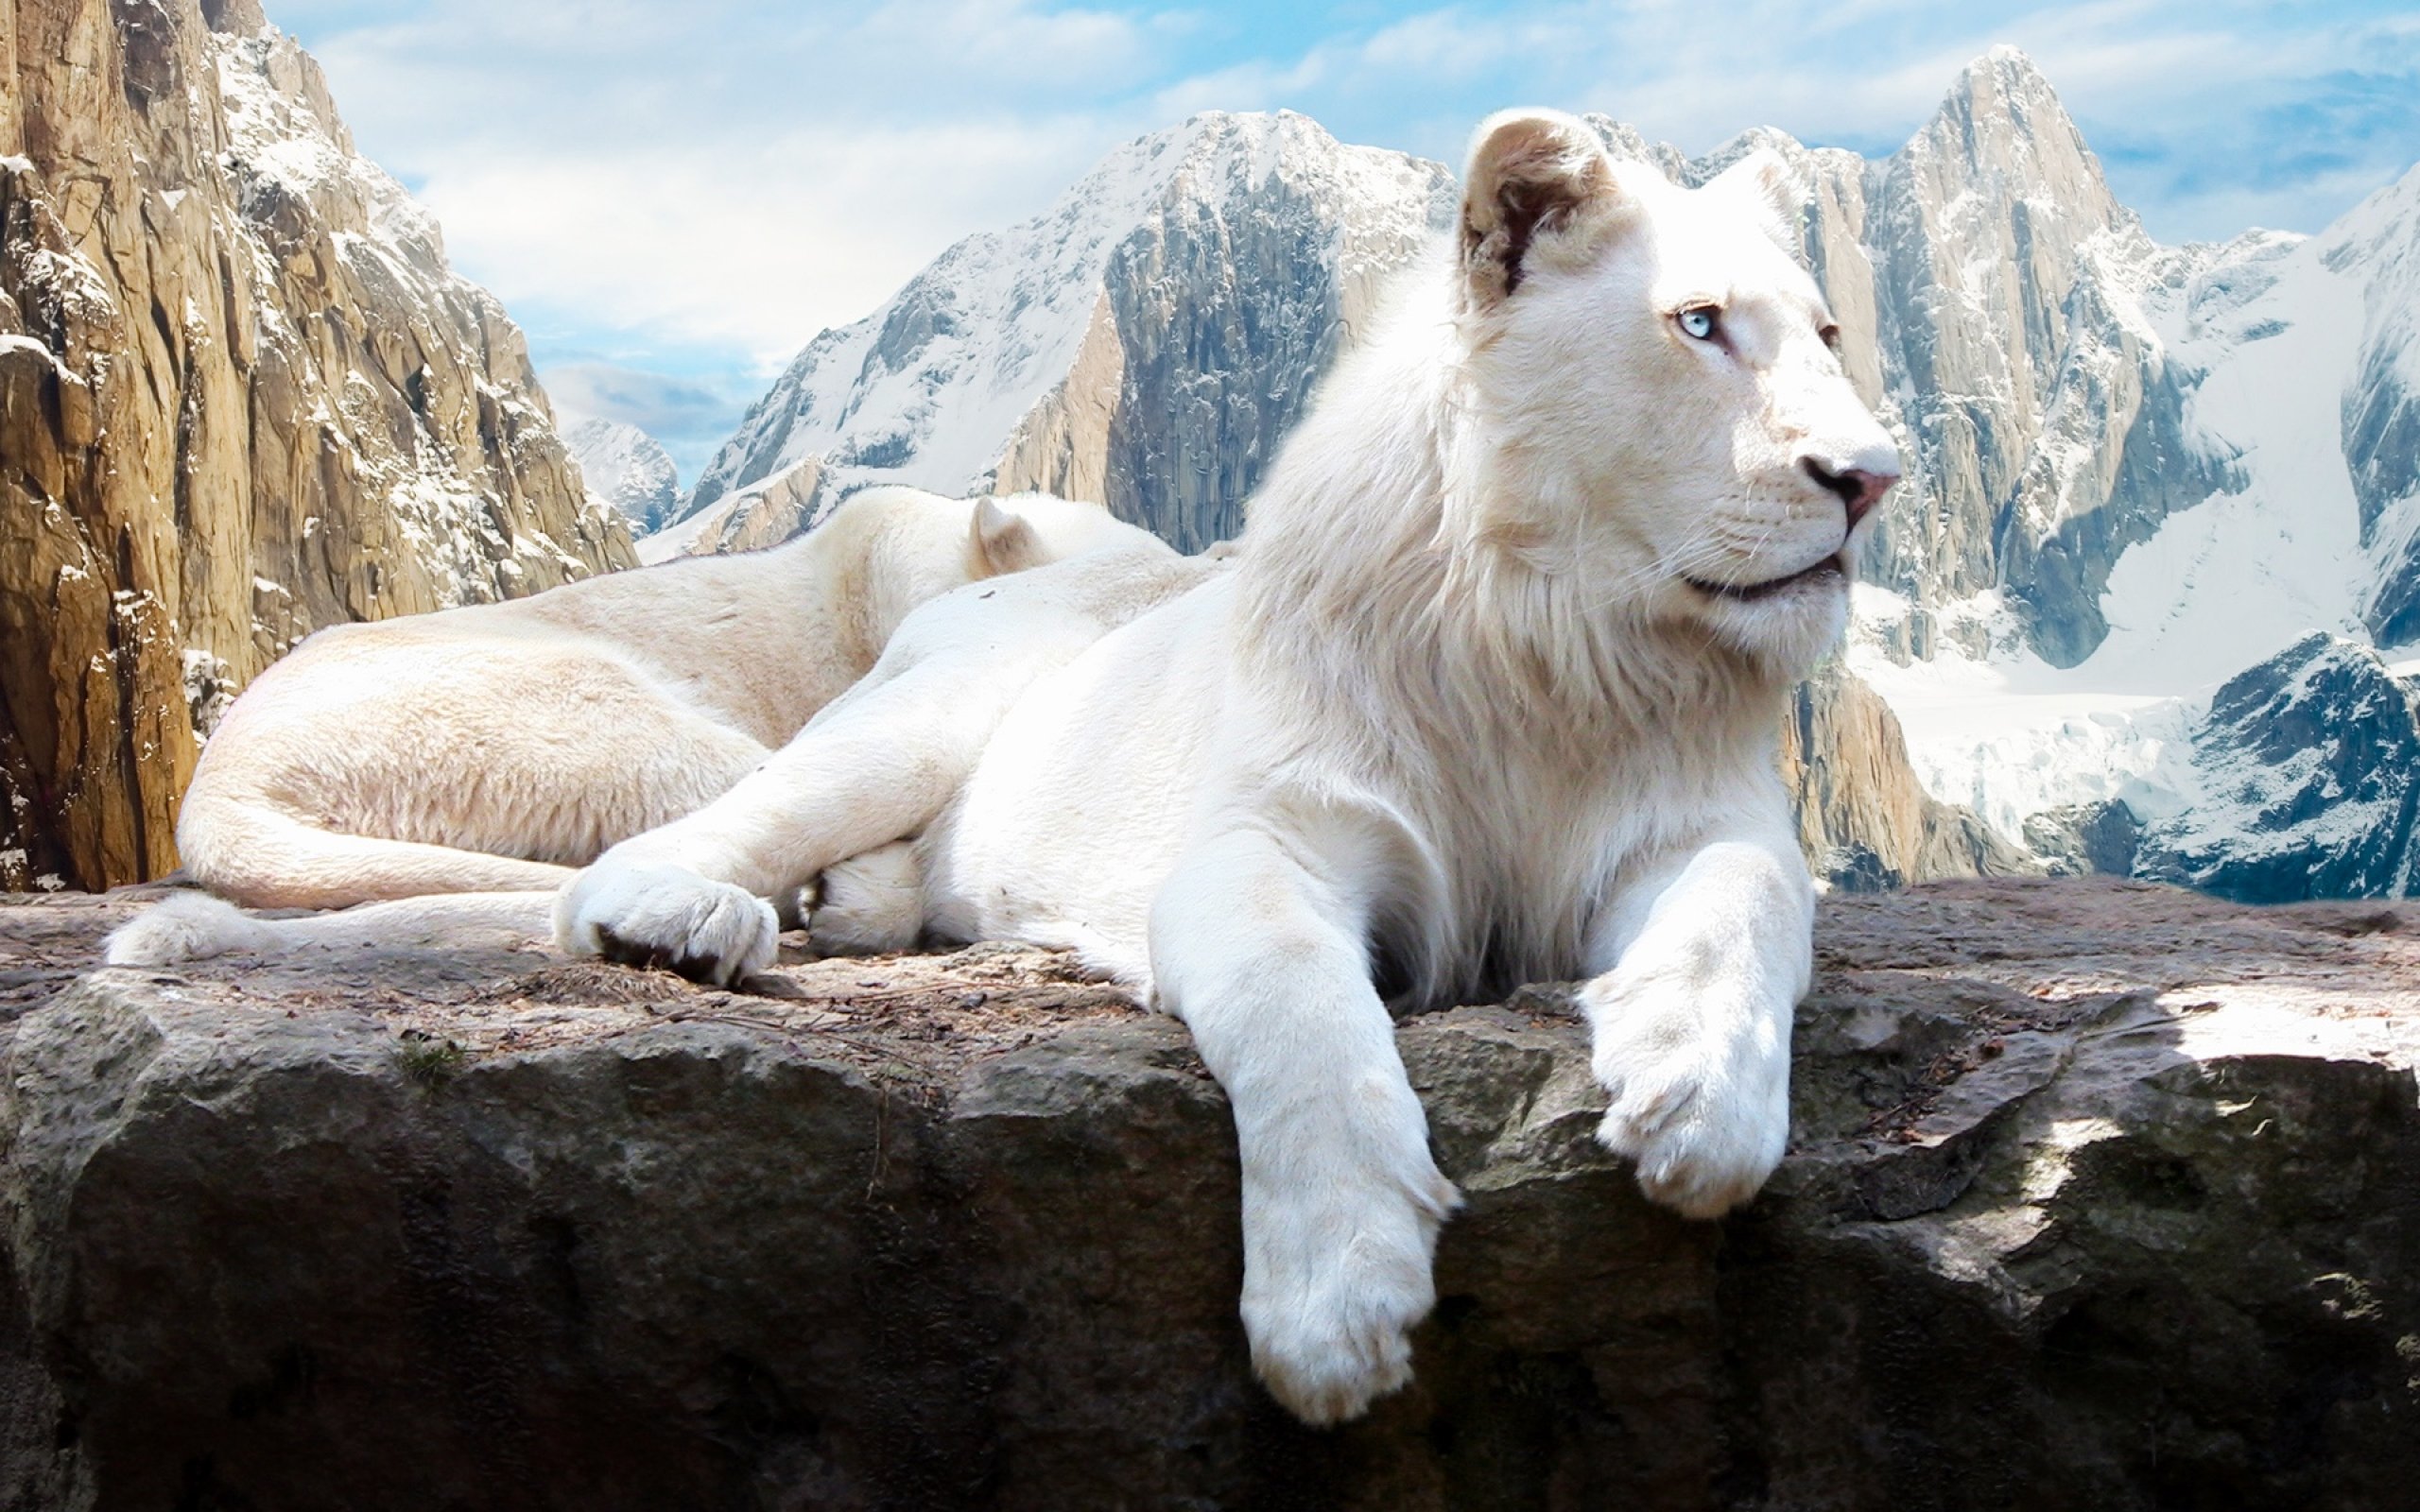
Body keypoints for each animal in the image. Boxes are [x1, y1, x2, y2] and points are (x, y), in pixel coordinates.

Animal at [550, 109, 1900, 1424]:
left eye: (1830, 333)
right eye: (1698, 323)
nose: (1872, 480)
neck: (1552, 642)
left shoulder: (1695, 823)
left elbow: (1745, 900)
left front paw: (1698, 1097)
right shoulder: (1268, 838)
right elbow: (1296, 1006)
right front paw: (1337, 1301)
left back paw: (854, 906)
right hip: (920, 720)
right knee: (681, 842)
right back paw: (685, 920)